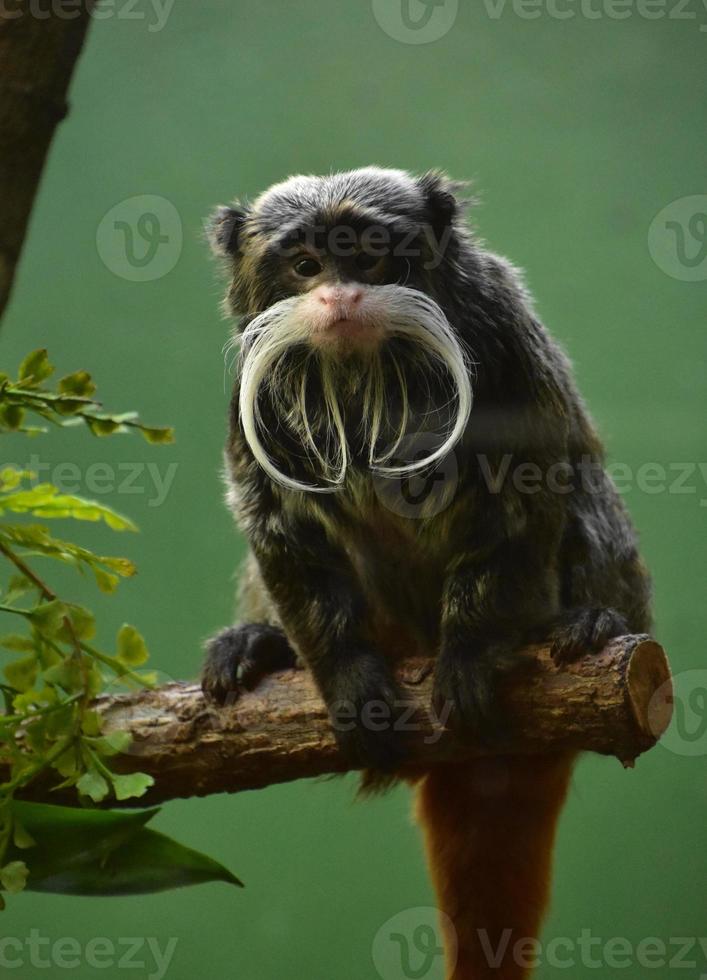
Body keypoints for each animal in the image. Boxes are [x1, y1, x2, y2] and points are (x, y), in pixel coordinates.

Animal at [201, 165, 652, 976]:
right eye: (306, 264)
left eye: (368, 257)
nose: (340, 296)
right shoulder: (254, 391)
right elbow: (277, 527)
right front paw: (347, 677)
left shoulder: (502, 341)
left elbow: (526, 493)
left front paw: (469, 657)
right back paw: (259, 644)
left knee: (584, 496)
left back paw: (591, 623)